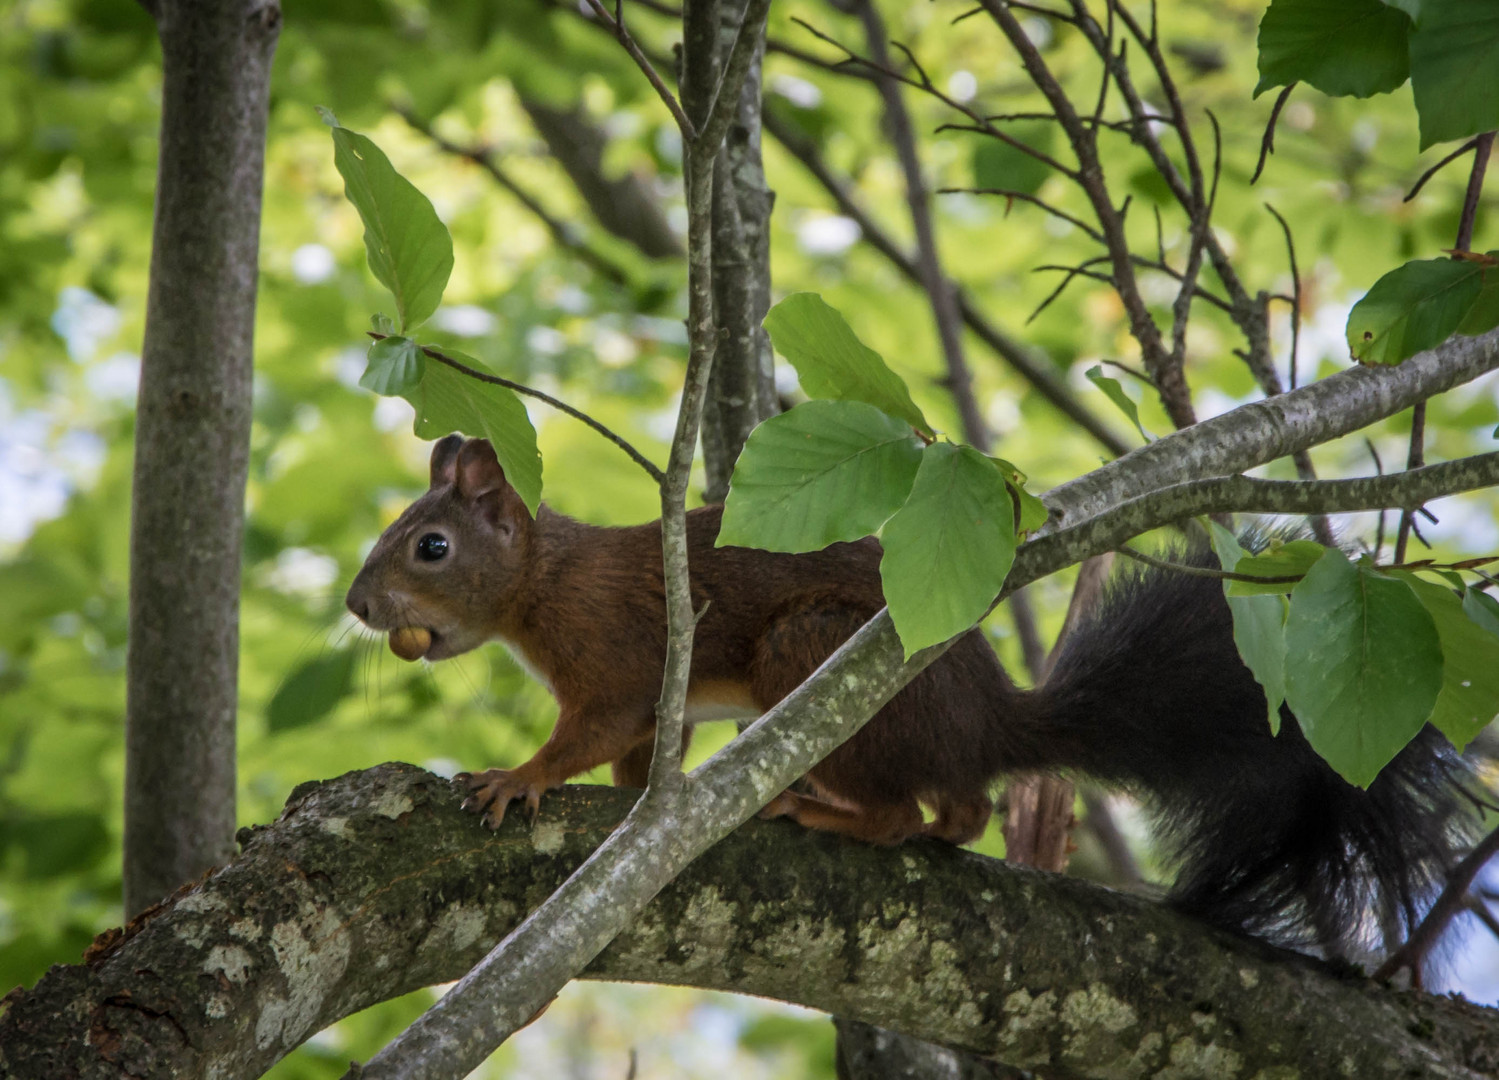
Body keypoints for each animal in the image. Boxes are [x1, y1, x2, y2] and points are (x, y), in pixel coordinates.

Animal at [347, 435, 1475, 948]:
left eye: (429, 546)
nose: (361, 606)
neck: (541, 582)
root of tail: (989, 722)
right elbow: (635, 760)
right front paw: (633, 799)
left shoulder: (615, 647)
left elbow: (594, 731)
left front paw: (516, 778)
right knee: (961, 811)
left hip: (807, 655)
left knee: (914, 813)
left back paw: (822, 809)